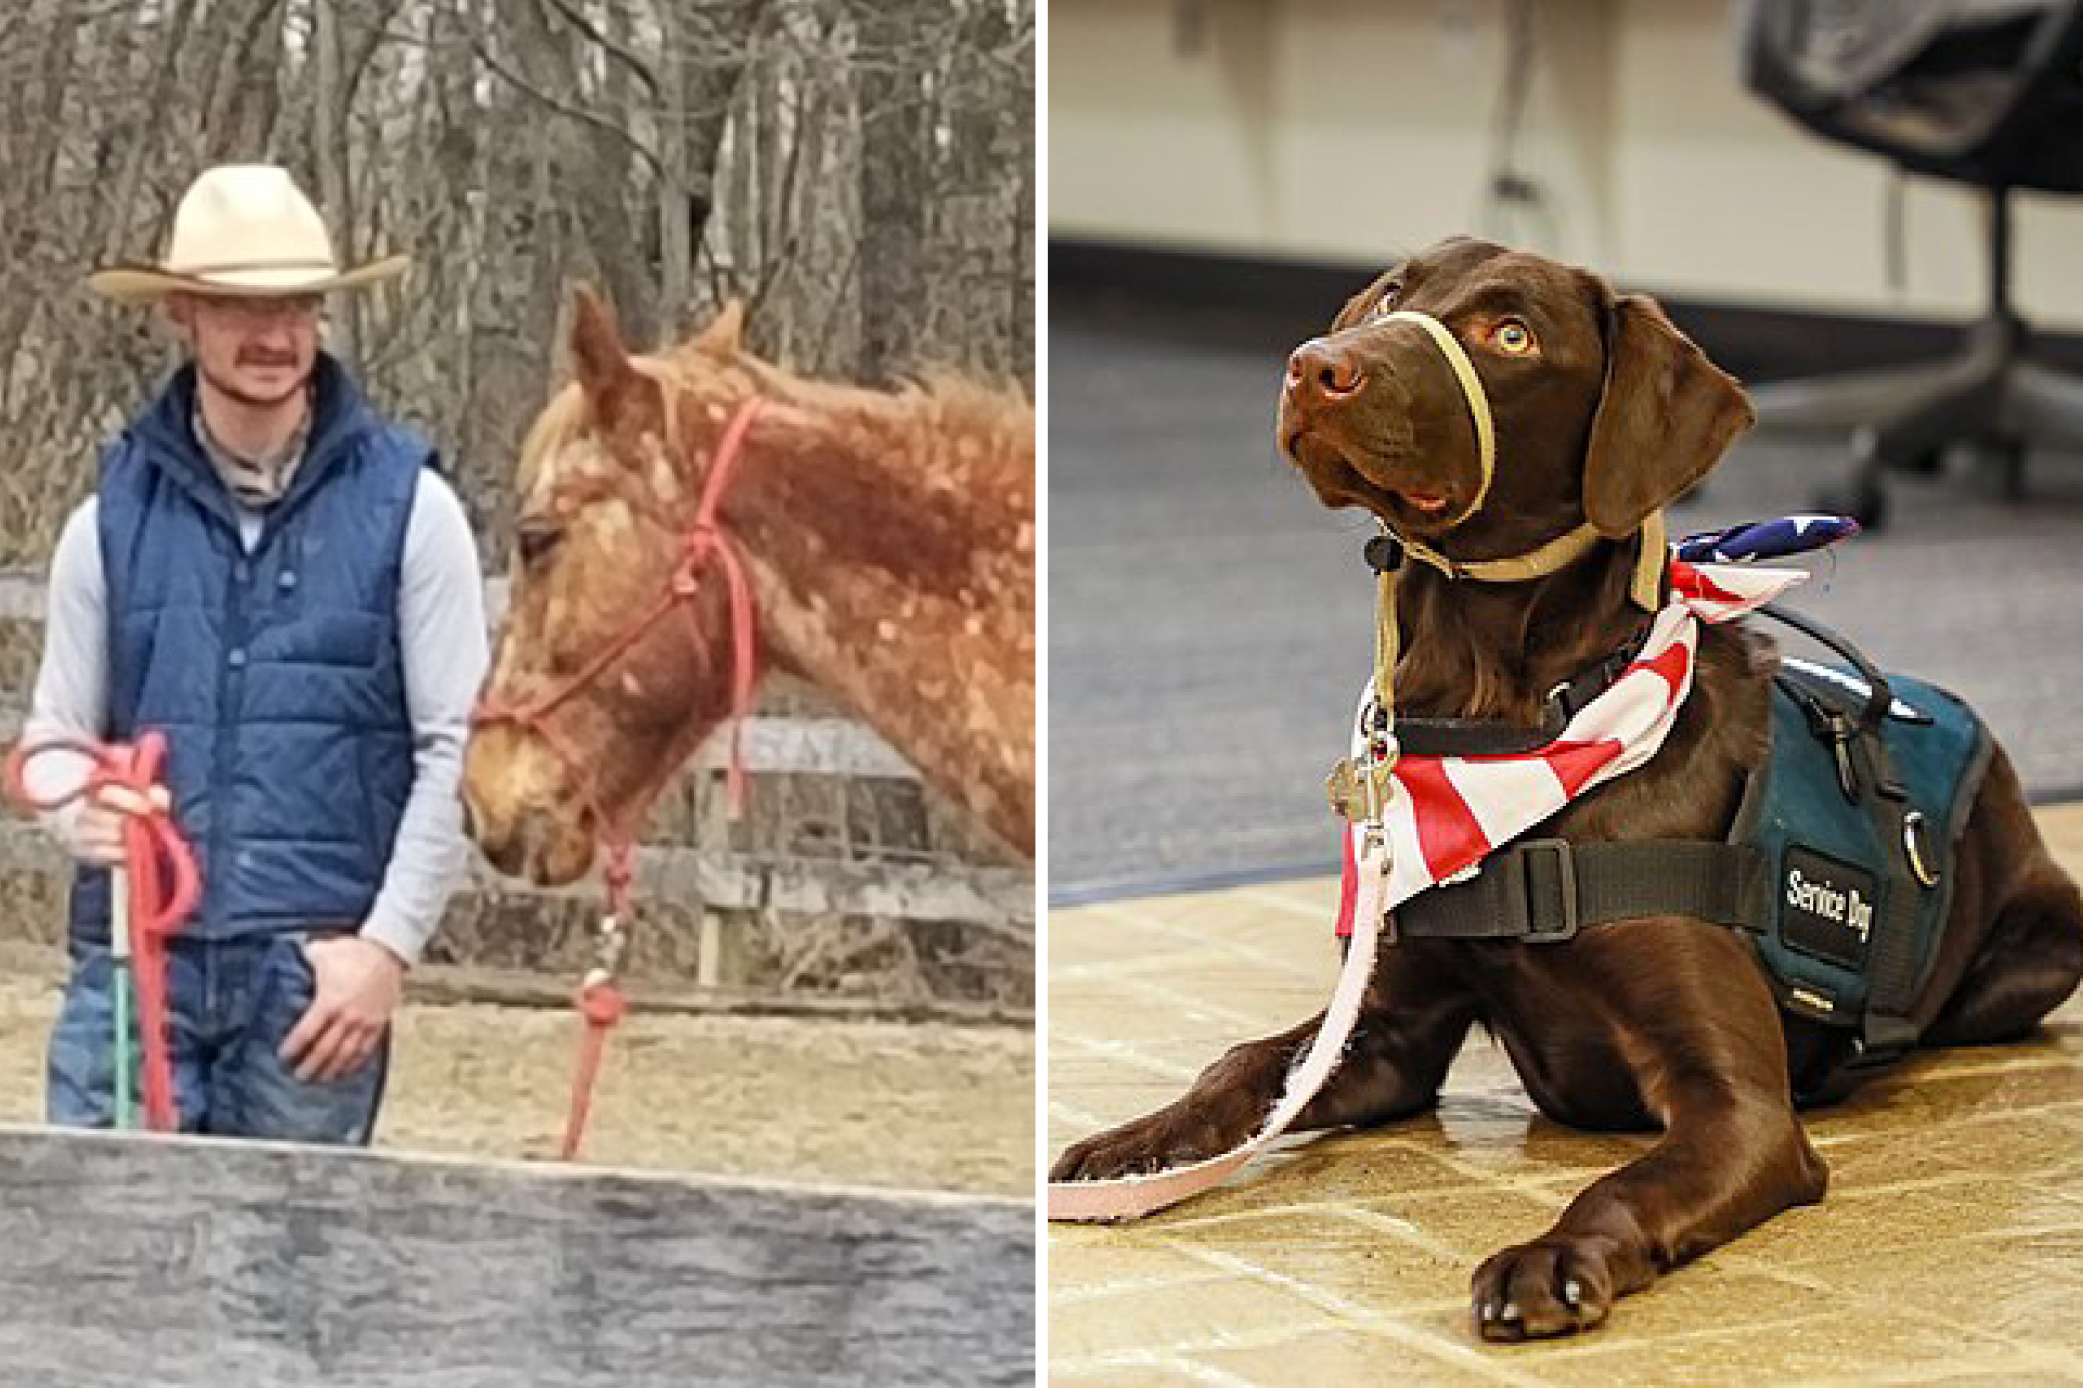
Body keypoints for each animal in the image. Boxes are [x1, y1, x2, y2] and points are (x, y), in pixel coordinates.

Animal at [1049, 240, 2083, 1342]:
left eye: (1511, 335)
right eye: (1390, 294)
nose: (1313, 365)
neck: (1506, 725)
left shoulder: (1740, 1108)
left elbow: (1626, 1183)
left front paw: (1548, 1260)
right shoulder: (1389, 1033)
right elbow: (1245, 1063)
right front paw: (1134, 1144)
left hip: (2033, 955)